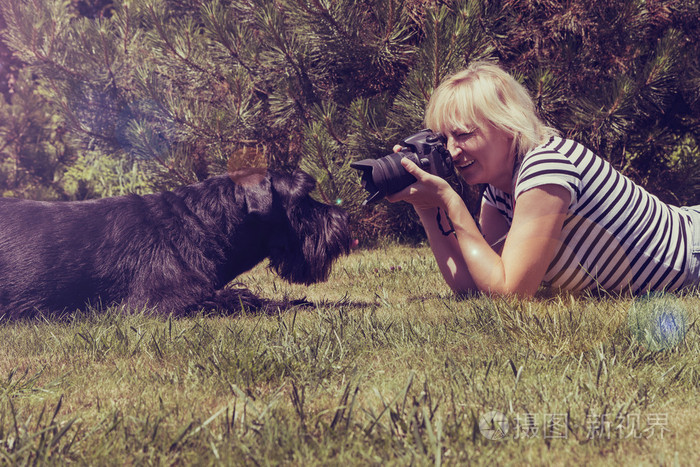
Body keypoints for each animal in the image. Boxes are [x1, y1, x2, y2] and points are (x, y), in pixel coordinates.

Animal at [0, 170, 350, 320]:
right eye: (302, 200)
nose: (344, 219)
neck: (199, 226)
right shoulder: (158, 304)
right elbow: (244, 300)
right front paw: (291, 304)